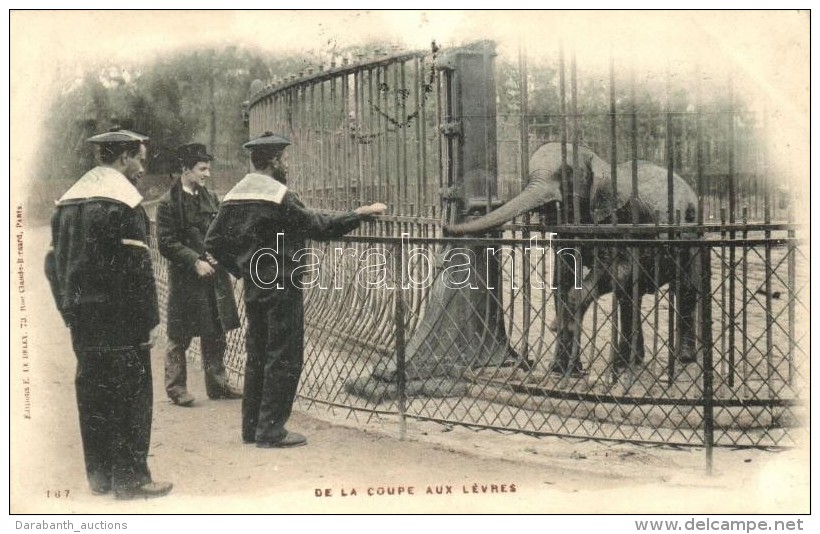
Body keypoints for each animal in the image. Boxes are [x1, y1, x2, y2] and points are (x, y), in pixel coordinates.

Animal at [442, 146, 700, 382]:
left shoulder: (624, 224)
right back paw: (627, 362)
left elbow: (616, 272)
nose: (446, 225)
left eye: (566, 174)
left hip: (689, 233)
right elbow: (562, 281)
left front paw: (559, 325)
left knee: (684, 289)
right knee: (629, 298)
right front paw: (562, 368)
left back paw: (683, 361)